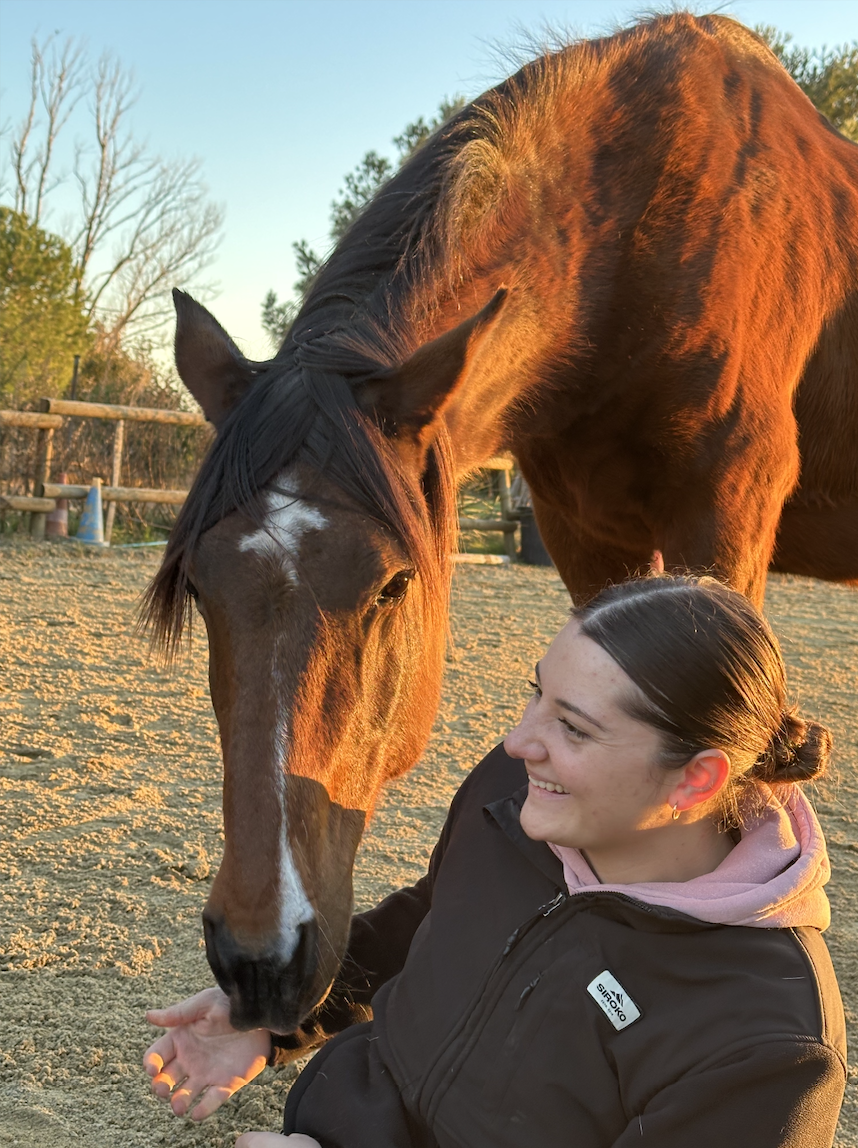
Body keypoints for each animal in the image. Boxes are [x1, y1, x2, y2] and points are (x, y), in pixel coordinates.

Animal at [144, 12, 858, 1034]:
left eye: (393, 584)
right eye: (201, 587)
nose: (259, 959)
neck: (639, 237)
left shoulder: (724, 517)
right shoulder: (583, 531)